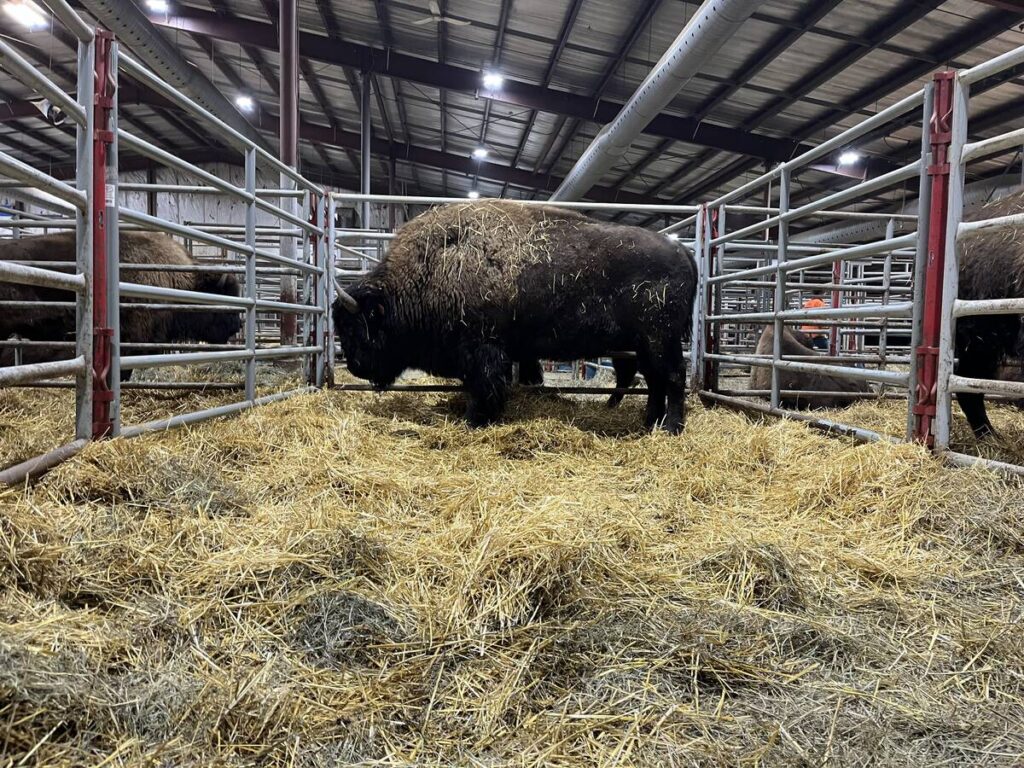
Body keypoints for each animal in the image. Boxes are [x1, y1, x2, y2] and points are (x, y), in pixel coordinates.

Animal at [334, 201, 697, 432]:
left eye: (356, 328)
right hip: (643, 344)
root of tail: (682, 250)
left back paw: (671, 428)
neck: (429, 270)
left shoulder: (483, 350)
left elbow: (483, 387)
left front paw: (474, 420)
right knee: (653, 380)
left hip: (659, 339)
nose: (354, 367)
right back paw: (649, 423)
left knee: (673, 376)